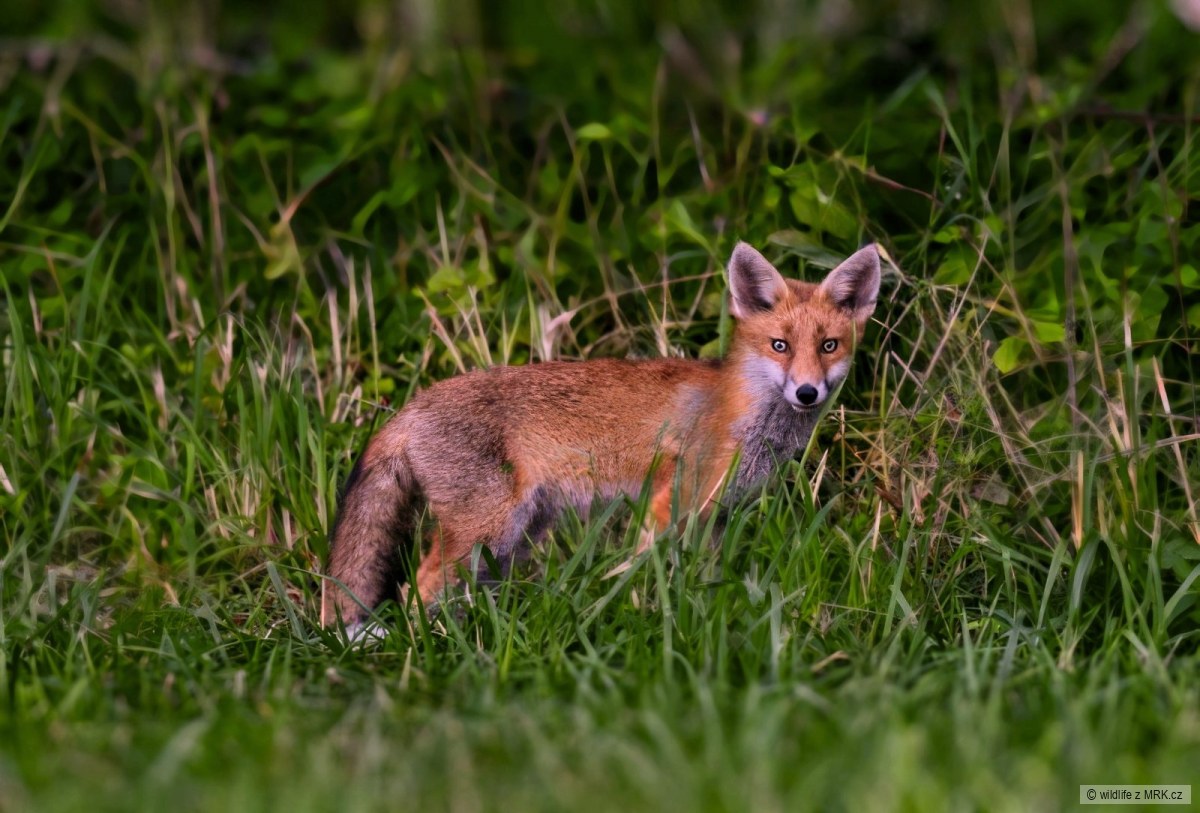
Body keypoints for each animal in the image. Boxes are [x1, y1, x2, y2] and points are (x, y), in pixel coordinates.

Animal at [322, 241, 881, 631]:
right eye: (779, 345)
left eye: (829, 346)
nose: (807, 393)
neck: (745, 415)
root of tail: (409, 408)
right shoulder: (670, 501)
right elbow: (650, 572)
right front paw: (647, 614)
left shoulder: (718, 517)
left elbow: (704, 577)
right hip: (490, 527)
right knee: (418, 588)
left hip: (514, 536)